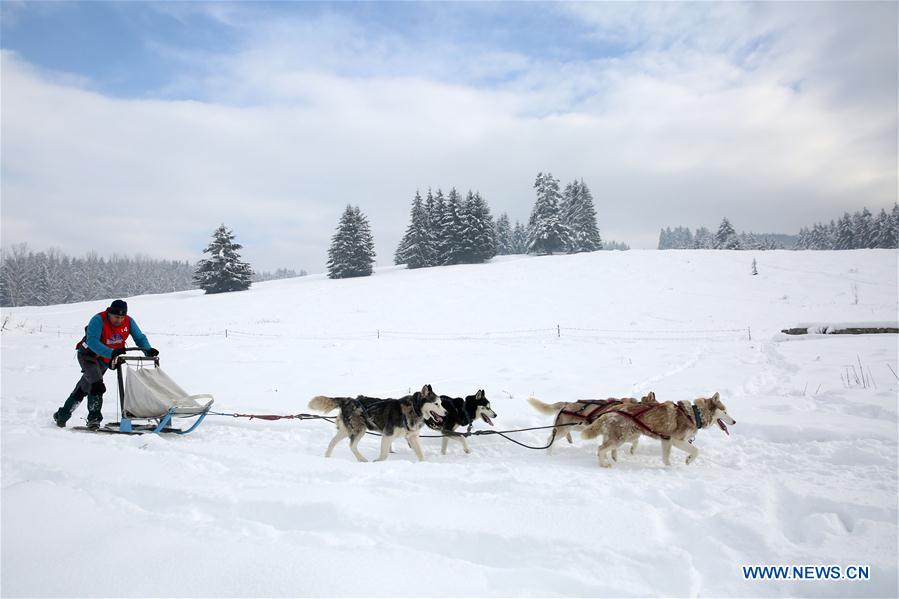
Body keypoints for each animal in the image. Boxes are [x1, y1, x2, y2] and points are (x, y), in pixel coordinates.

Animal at [310, 384, 446, 464]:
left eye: (441, 403)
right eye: (436, 404)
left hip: (346, 430)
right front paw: (378, 462)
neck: (413, 409)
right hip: (359, 430)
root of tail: (347, 400)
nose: (446, 413)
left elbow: (420, 454)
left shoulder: (412, 437)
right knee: (352, 445)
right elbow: (384, 455)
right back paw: (362, 459)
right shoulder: (387, 436)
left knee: (333, 442)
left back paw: (327, 458)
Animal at [584, 394, 740, 468]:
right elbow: (696, 450)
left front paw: (669, 467)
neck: (694, 414)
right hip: (620, 438)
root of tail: (609, 412)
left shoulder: (666, 440)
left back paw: (610, 459)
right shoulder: (676, 440)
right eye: (725, 411)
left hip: (623, 437)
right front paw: (688, 460)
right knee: (600, 449)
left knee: (606, 448)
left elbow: (666, 458)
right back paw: (603, 464)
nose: (734, 422)